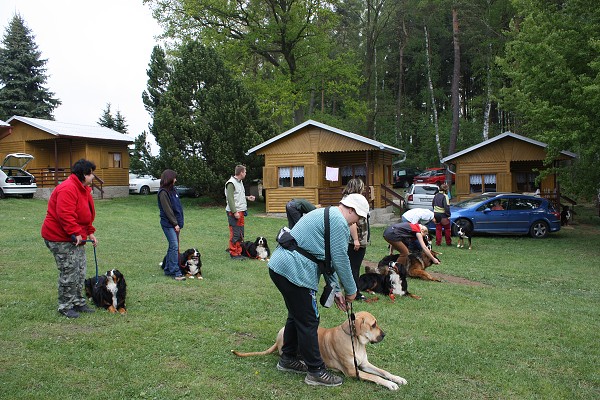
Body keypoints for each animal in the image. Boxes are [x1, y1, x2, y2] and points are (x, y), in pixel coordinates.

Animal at [232, 310, 406, 390]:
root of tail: (277, 339)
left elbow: (383, 372)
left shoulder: (364, 364)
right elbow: (375, 377)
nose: (384, 335)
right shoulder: (353, 371)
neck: (356, 342)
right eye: (373, 325)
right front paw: (390, 384)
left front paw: (397, 378)